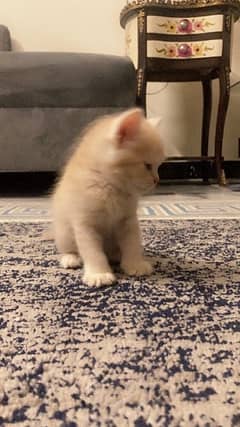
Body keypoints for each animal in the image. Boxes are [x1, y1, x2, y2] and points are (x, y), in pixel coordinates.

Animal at [51, 108, 165, 288]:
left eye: (158, 166)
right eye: (147, 166)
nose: (157, 180)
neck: (110, 187)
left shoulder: (128, 221)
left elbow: (132, 243)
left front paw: (135, 264)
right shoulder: (85, 224)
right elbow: (93, 252)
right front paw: (99, 274)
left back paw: (117, 255)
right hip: (65, 232)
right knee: (68, 248)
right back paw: (71, 258)